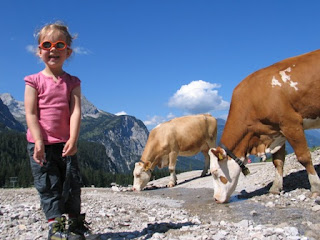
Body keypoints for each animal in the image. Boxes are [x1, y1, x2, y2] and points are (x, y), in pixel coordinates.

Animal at [209, 49, 320, 203]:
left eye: (215, 172)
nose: (216, 199)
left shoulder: (290, 123)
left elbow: (304, 157)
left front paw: (315, 187)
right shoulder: (277, 131)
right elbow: (278, 161)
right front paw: (275, 188)